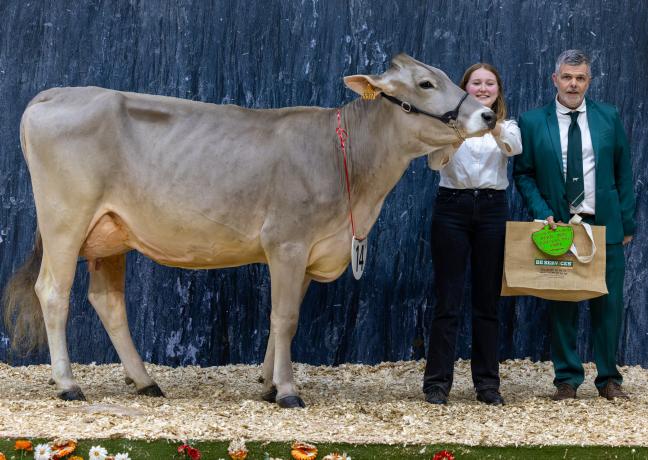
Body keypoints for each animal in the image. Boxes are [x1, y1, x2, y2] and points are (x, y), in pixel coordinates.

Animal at [3, 53, 495, 408]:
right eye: (426, 83)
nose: (488, 115)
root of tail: (55, 94)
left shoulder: (309, 253)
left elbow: (283, 319)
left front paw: (268, 385)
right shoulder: (287, 242)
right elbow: (284, 318)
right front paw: (289, 392)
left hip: (110, 233)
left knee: (108, 302)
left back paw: (145, 382)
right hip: (65, 220)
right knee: (53, 291)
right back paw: (68, 385)